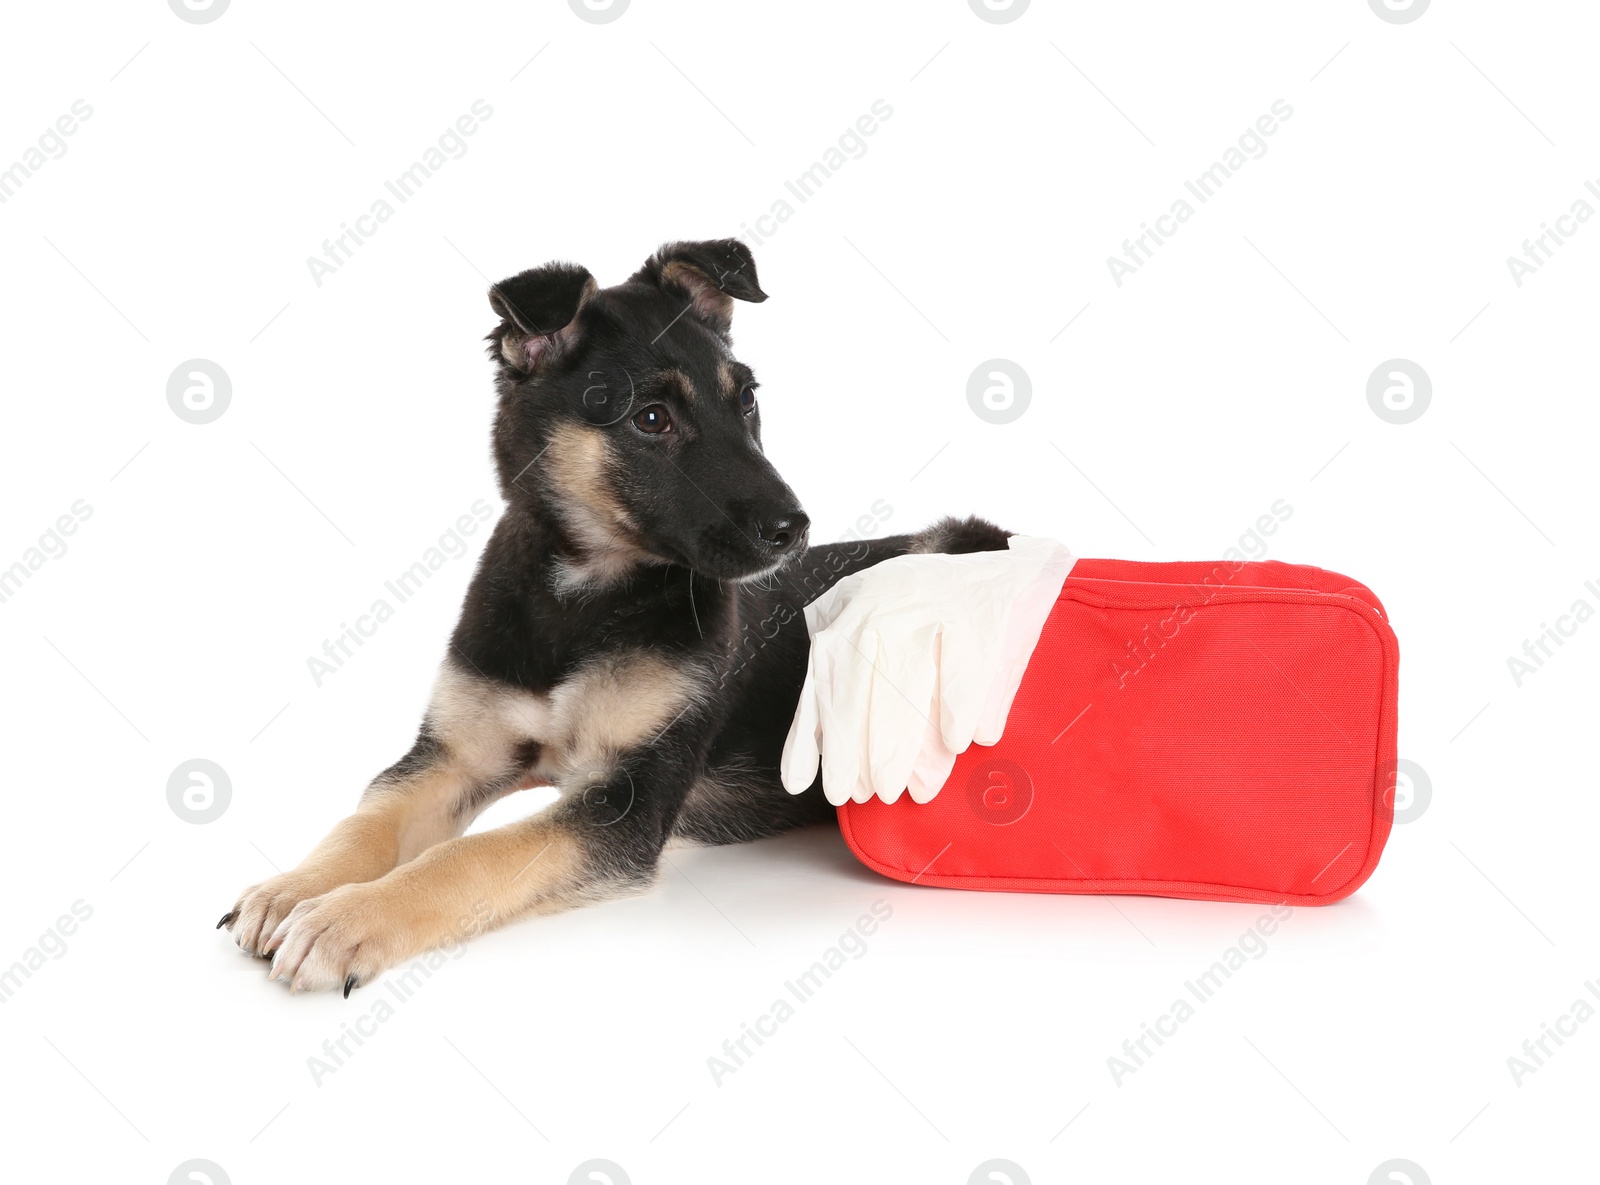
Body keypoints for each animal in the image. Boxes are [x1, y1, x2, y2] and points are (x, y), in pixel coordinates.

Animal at [222, 239, 1011, 991]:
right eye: (651, 419)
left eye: (746, 401)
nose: (793, 529)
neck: (584, 594)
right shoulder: (452, 755)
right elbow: (365, 819)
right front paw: (291, 888)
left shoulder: (627, 800)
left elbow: (469, 854)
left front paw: (347, 919)